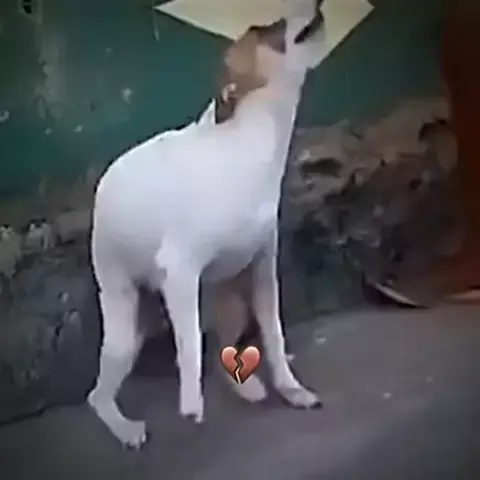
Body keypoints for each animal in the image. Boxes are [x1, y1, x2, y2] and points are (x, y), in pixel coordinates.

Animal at [88, 0, 326, 449]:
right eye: (266, 29)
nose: (315, 6)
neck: (249, 139)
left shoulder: (262, 271)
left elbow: (273, 335)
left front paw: (290, 387)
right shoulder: (180, 272)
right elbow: (191, 344)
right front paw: (190, 402)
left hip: (225, 299)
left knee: (223, 348)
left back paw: (246, 386)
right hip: (125, 326)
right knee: (98, 396)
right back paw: (124, 427)